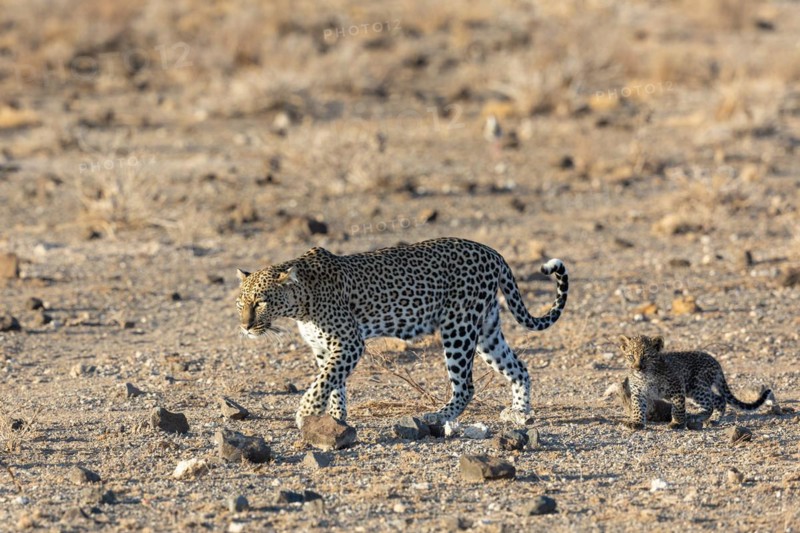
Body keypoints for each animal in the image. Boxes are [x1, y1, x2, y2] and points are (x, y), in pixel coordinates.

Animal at [235, 237, 569, 429]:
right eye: (241, 303)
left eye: (260, 301)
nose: (245, 326)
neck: (300, 304)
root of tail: (491, 251)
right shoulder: (324, 348)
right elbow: (333, 382)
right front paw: (334, 418)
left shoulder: (349, 342)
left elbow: (323, 381)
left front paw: (306, 413)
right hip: (486, 329)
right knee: (519, 368)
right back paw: (520, 413)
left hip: (458, 326)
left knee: (466, 385)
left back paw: (438, 417)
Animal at [619, 334, 772, 430]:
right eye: (631, 356)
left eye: (646, 357)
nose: (638, 368)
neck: (645, 376)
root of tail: (715, 361)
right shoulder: (638, 392)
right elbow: (638, 408)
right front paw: (637, 423)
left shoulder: (677, 387)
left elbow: (678, 408)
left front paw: (677, 423)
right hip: (694, 390)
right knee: (719, 399)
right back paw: (713, 419)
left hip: (697, 386)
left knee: (710, 404)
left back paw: (695, 417)